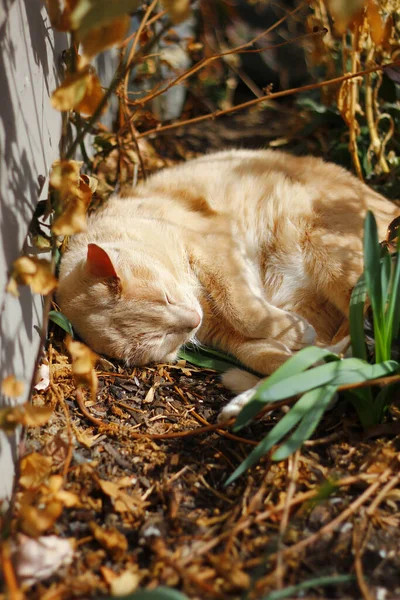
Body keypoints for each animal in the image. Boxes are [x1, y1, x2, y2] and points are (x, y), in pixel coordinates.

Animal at [57, 149, 400, 404]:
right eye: (161, 337)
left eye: (164, 297)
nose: (191, 321)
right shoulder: (221, 335)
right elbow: (262, 354)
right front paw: (302, 359)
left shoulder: (215, 249)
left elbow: (243, 309)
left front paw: (298, 335)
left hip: (333, 258)